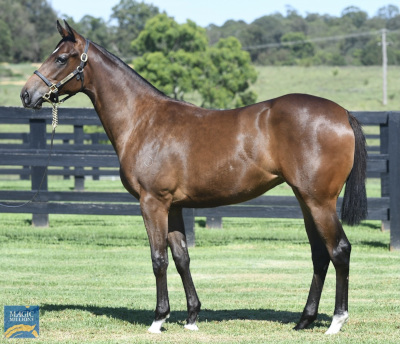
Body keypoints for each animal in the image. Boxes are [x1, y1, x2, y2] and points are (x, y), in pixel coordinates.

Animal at [21, 20, 366, 334]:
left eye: (61, 58)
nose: (26, 94)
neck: (143, 120)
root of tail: (343, 114)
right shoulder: (173, 206)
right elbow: (181, 258)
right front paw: (191, 317)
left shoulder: (153, 203)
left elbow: (158, 258)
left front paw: (158, 319)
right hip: (305, 200)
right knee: (320, 254)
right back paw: (304, 320)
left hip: (319, 201)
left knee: (339, 250)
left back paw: (336, 322)